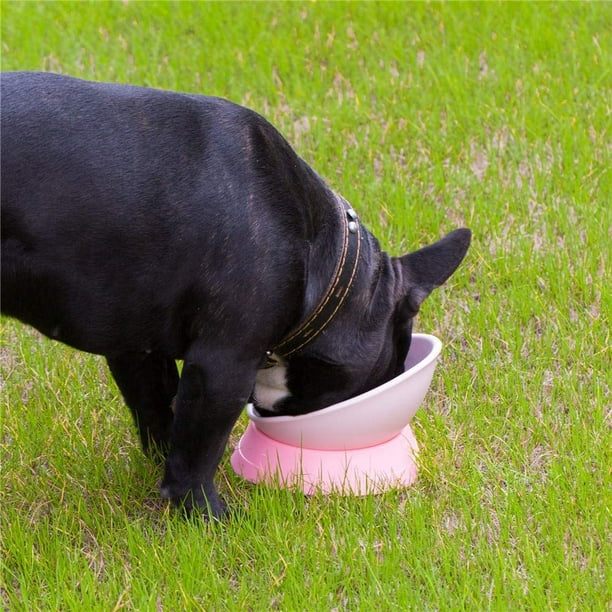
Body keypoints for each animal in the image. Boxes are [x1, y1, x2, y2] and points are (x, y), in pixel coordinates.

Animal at [0, 71, 470, 520]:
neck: (324, 255)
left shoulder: (138, 349)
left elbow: (159, 413)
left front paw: (163, 471)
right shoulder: (223, 366)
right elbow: (199, 450)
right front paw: (207, 514)